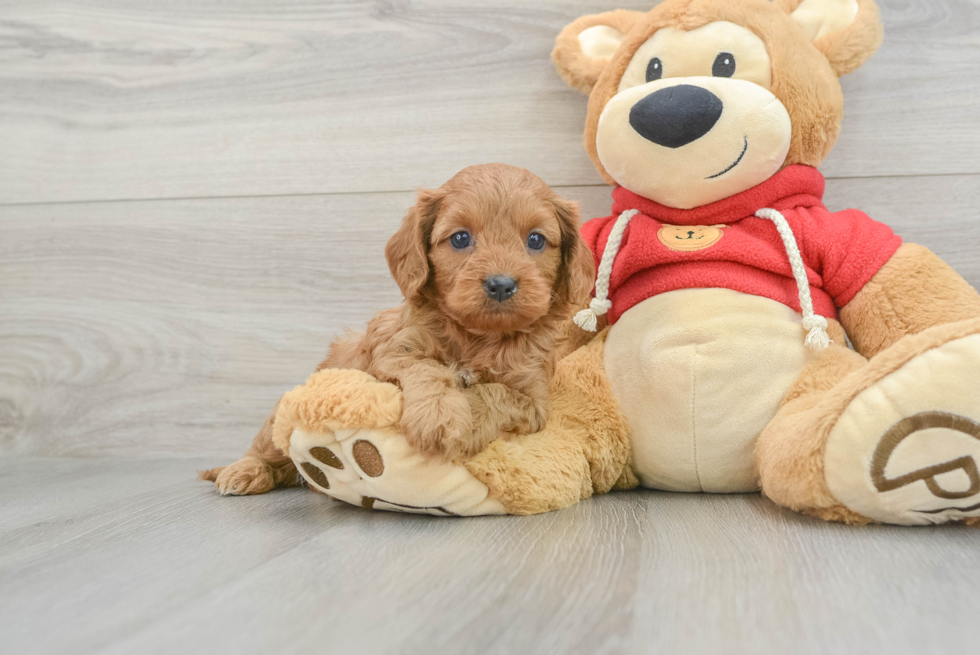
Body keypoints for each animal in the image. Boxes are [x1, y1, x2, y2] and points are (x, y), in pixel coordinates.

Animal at [203, 165, 592, 498]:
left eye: (536, 240)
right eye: (460, 238)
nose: (501, 284)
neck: (477, 336)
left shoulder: (535, 400)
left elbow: (496, 393)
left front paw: (464, 422)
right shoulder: (392, 351)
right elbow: (429, 368)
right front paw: (440, 416)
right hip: (280, 416)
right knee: (267, 446)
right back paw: (243, 472)